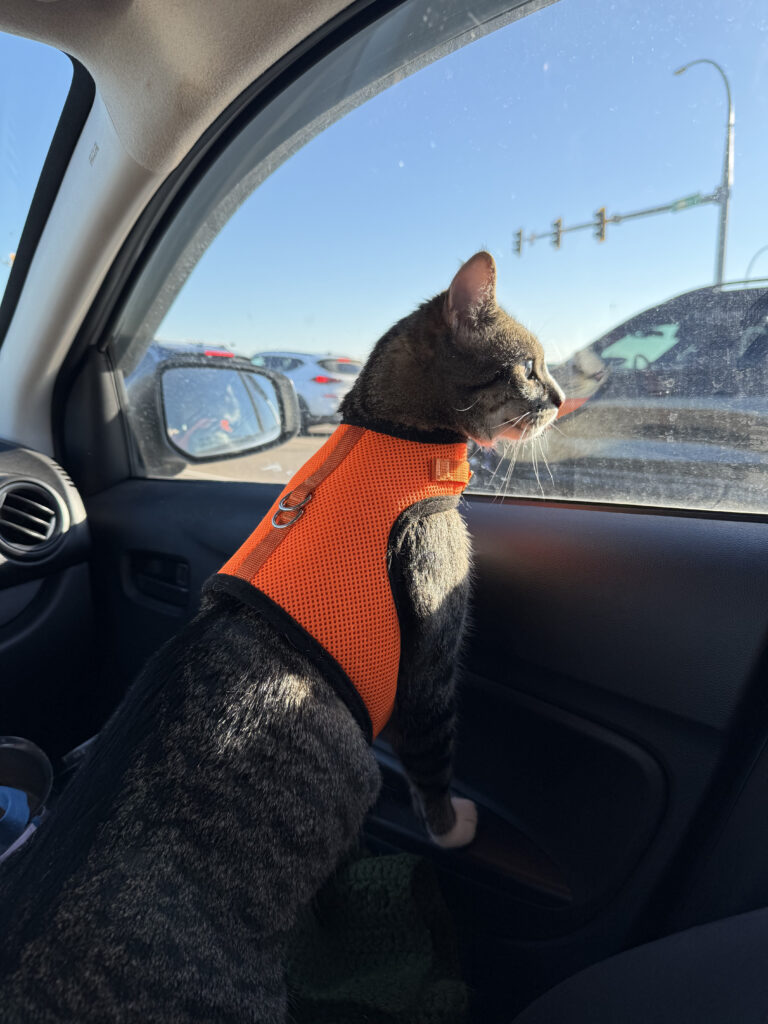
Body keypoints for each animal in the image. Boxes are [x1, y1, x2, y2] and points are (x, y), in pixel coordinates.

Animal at [0, 251, 565, 1019]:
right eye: (530, 367)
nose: (563, 397)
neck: (389, 432)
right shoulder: (428, 661)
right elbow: (432, 759)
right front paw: (452, 828)